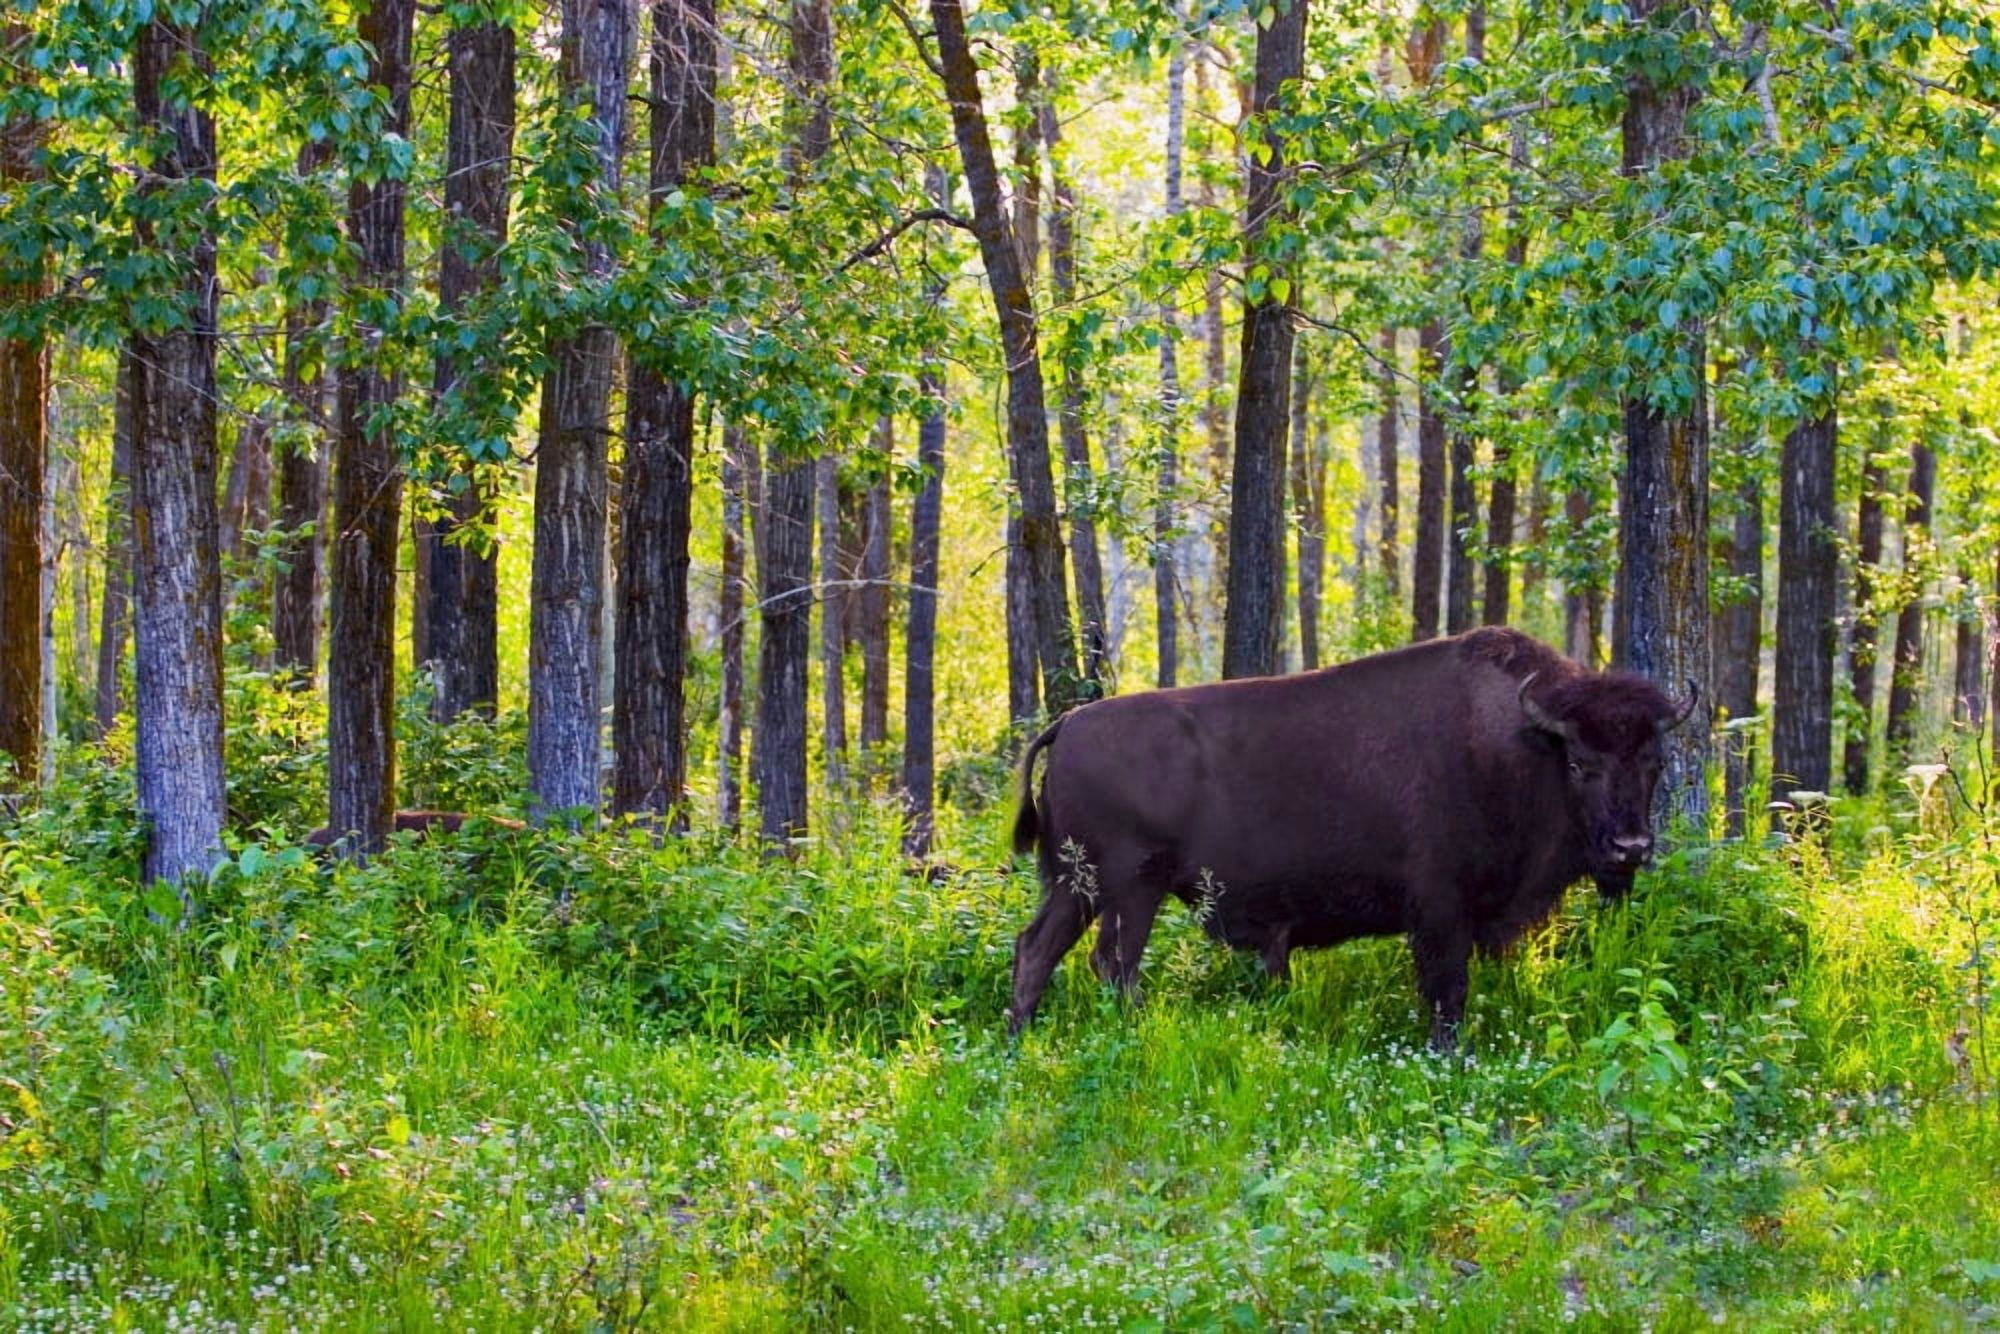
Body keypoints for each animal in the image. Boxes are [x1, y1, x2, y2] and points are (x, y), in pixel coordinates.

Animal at [1008, 627, 1697, 1047]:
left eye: (1656, 763)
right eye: (1579, 762)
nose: (1631, 849)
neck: (1523, 746)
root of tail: (1068, 723)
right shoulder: (1441, 911)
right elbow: (1447, 991)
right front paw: (1448, 1054)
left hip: (1078, 887)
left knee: (1037, 949)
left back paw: (1020, 1040)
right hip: (1130, 889)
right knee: (1111, 963)